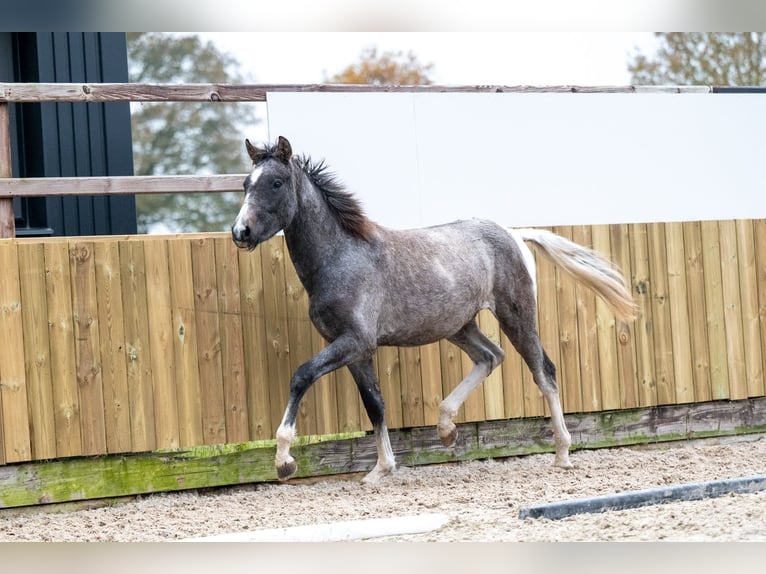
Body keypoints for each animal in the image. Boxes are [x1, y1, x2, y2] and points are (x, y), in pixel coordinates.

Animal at [231, 136, 640, 486]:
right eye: (246, 184)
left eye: (277, 182)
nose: (240, 232)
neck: (342, 257)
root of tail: (515, 234)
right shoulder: (355, 350)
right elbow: (375, 404)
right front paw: (381, 470)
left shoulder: (354, 342)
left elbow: (301, 375)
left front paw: (284, 461)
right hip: (459, 325)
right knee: (491, 356)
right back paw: (446, 429)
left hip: (516, 315)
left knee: (544, 371)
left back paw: (562, 454)